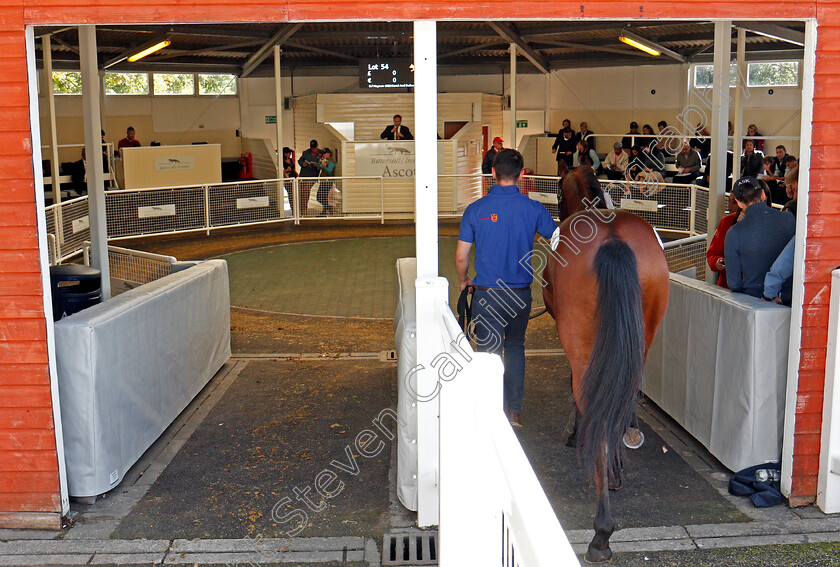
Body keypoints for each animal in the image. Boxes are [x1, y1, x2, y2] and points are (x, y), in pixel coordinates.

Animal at [544, 166, 668, 560]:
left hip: (581, 340)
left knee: (594, 404)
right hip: (644, 335)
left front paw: (573, 434)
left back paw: (601, 532)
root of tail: (613, 239)